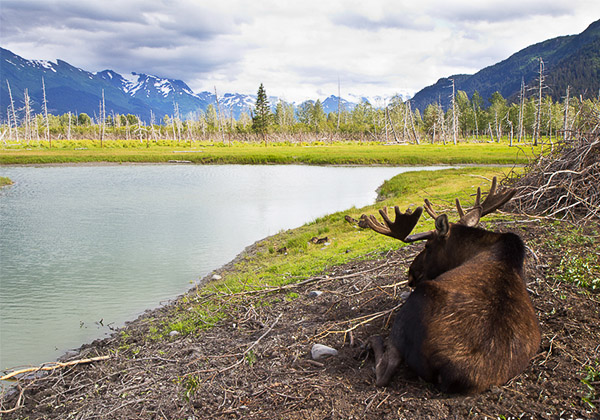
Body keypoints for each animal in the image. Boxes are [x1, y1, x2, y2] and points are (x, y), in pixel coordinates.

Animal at [358, 178, 540, 394]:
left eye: (427, 246)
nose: (411, 275)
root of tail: (453, 373)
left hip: (416, 302)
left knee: (386, 370)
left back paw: (372, 341)